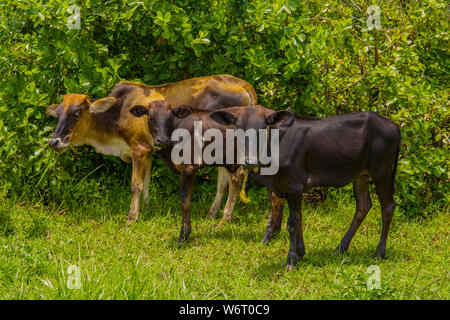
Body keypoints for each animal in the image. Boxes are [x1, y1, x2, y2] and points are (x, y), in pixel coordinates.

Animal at [211, 107, 400, 270]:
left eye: (263, 127)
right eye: (238, 128)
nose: (249, 160)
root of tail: (393, 125)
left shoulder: (295, 185)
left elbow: (292, 223)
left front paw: (291, 260)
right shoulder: (288, 188)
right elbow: (299, 218)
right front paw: (301, 254)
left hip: (381, 171)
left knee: (387, 207)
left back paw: (379, 253)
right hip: (361, 175)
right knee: (363, 206)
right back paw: (341, 247)